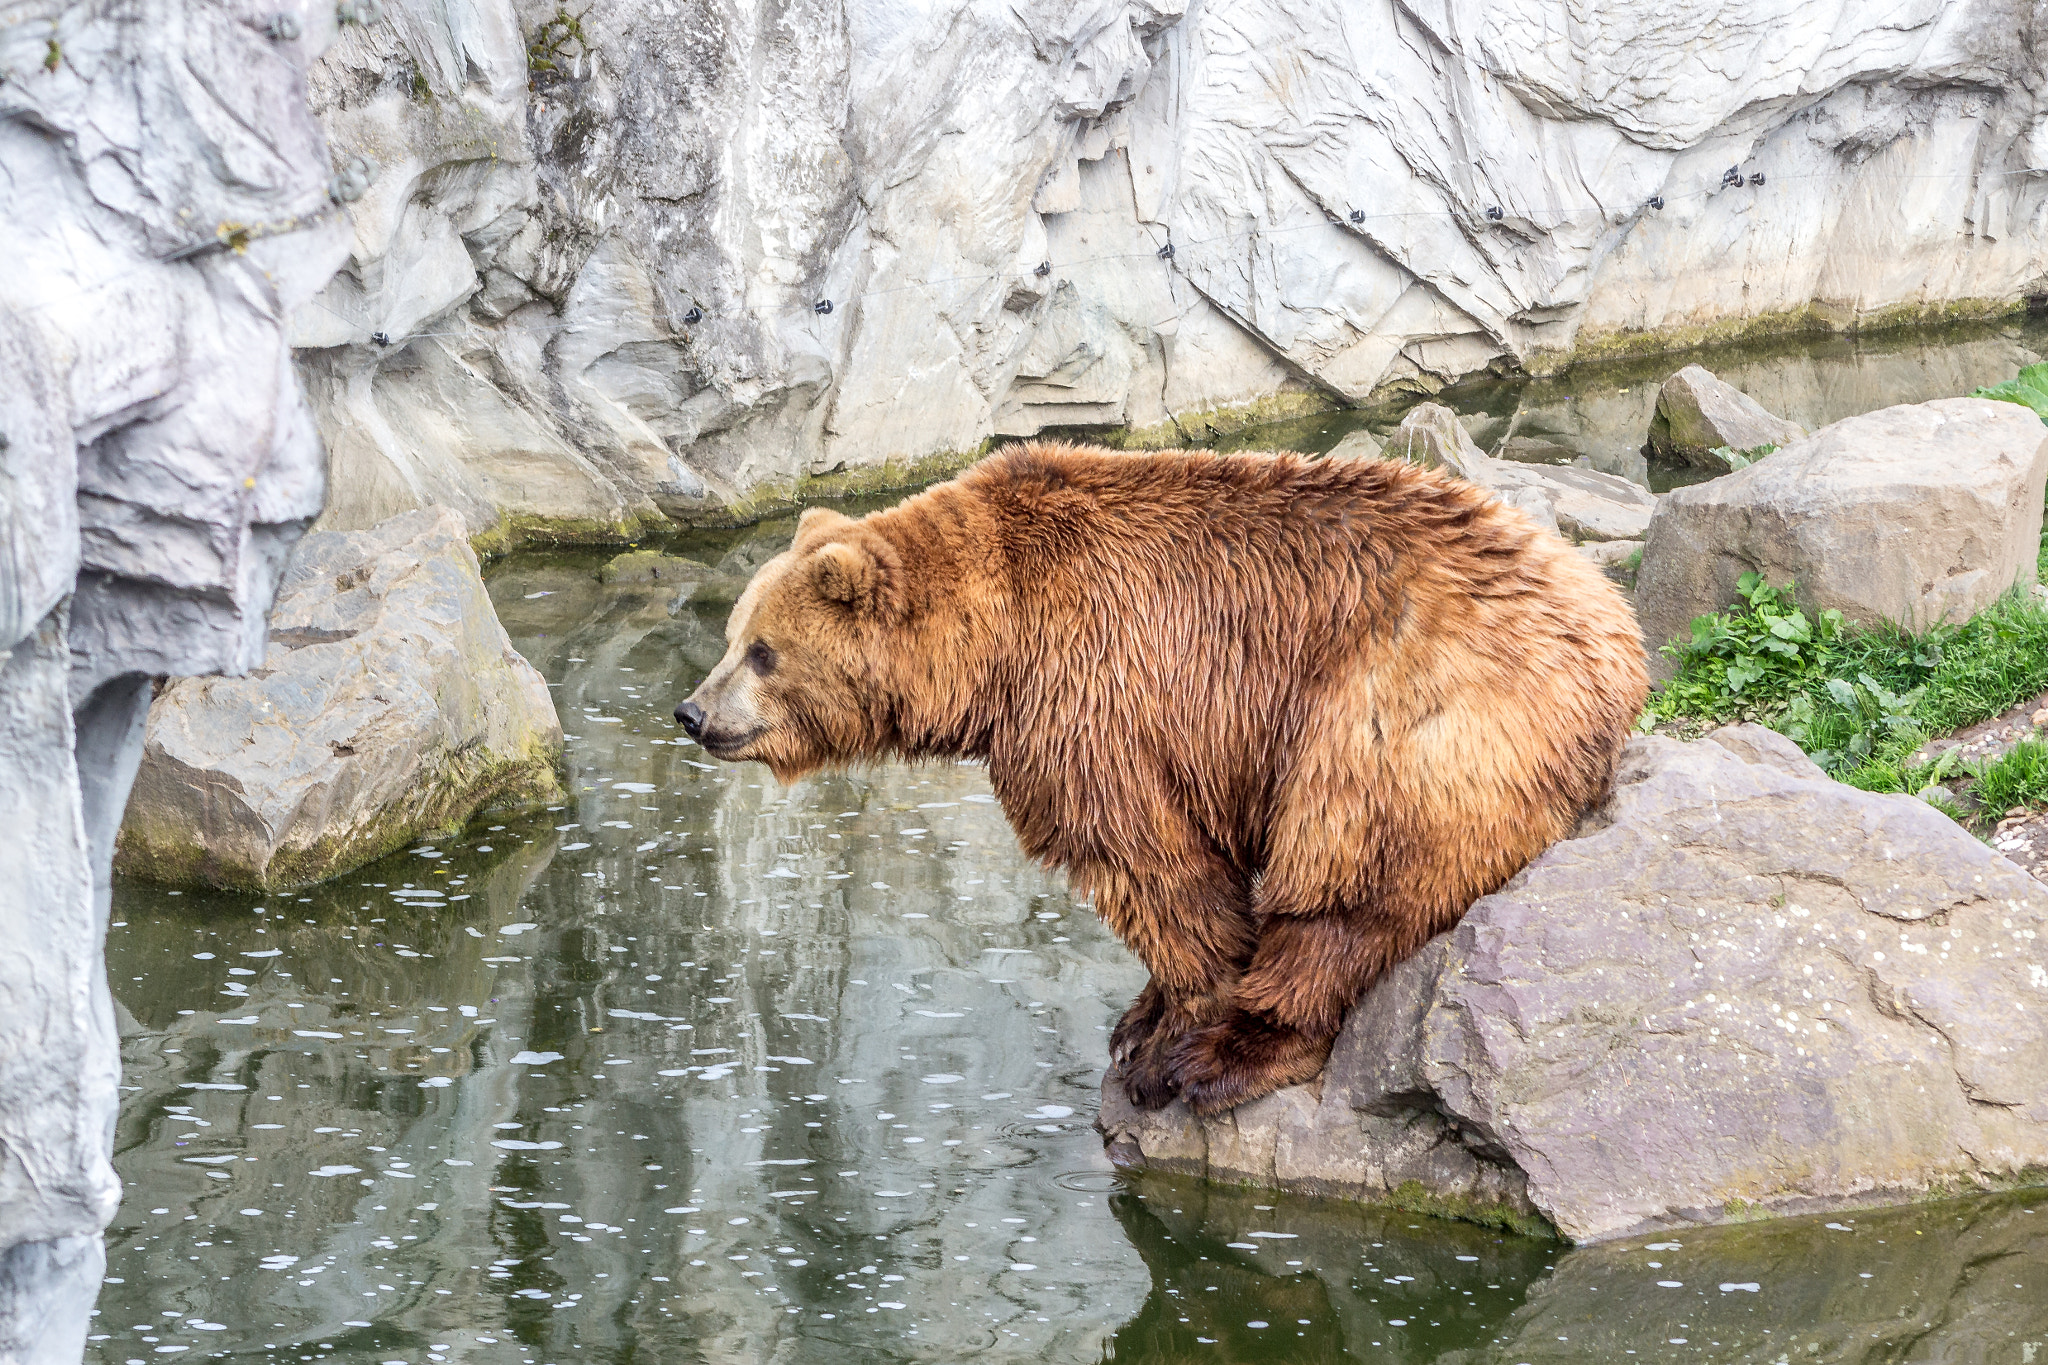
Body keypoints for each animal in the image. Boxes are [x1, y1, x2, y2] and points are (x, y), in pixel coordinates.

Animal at [676, 440, 1648, 1114]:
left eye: (763, 651)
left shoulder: (1094, 687)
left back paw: (1231, 1053)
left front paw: (1161, 1037)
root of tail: (1617, 643)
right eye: (732, 635)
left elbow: (1146, 860)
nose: (691, 711)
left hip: (1400, 710)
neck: (992, 647)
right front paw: (1135, 1018)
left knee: (1342, 871)